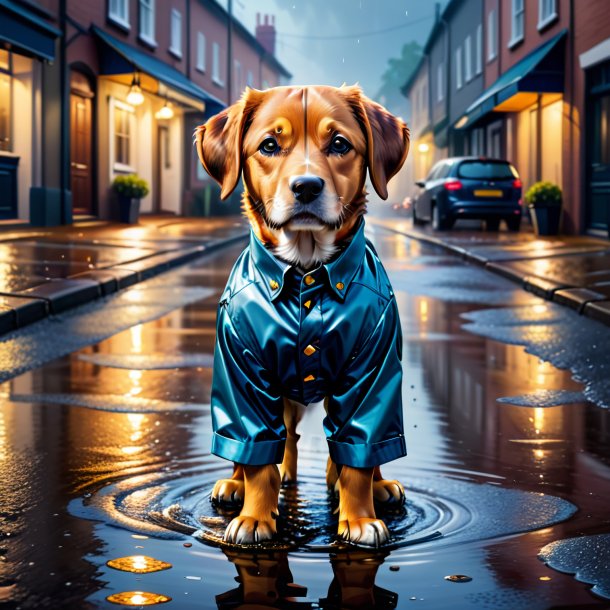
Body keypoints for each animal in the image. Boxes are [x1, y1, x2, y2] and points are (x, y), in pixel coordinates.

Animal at [196, 83, 408, 544]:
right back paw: (234, 484)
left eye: (340, 144)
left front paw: (358, 517)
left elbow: (357, 456)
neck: (306, 270)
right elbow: (258, 459)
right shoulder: (240, 370)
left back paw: (377, 485)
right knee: (265, 441)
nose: (307, 187)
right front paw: (256, 516)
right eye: (269, 145)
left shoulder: (373, 370)